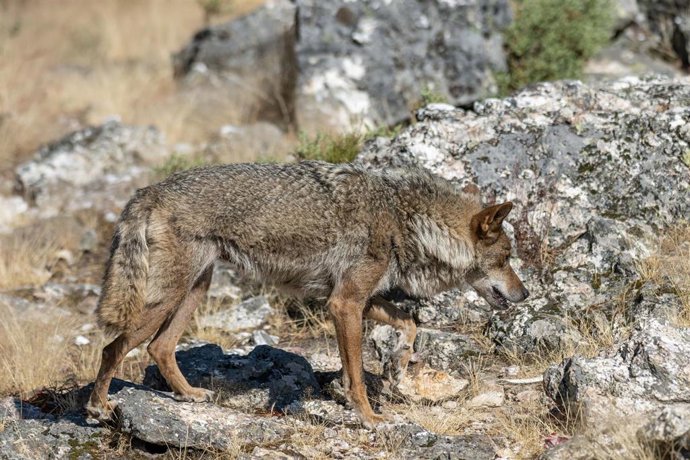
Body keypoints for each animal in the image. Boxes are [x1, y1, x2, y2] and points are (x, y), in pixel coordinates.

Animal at [86, 160, 529, 428]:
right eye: (506, 258)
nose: (524, 294)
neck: (405, 218)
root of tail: (149, 190)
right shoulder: (344, 303)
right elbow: (357, 377)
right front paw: (369, 418)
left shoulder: (355, 298)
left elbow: (409, 322)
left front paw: (398, 365)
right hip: (165, 297)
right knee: (113, 348)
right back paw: (98, 408)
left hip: (195, 288)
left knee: (158, 348)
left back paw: (190, 395)